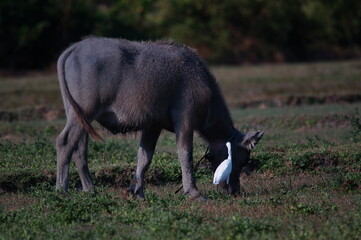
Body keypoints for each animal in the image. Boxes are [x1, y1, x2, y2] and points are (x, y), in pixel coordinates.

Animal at [57, 37, 264, 199]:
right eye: (243, 160)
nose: (234, 190)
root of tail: (74, 48)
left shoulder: (153, 126)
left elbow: (144, 157)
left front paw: (138, 191)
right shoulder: (185, 121)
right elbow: (185, 154)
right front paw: (193, 192)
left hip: (80, 118)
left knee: (79, 148)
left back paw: (90, 189)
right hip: (85, 114)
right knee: (65, 143)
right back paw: (62, 190)